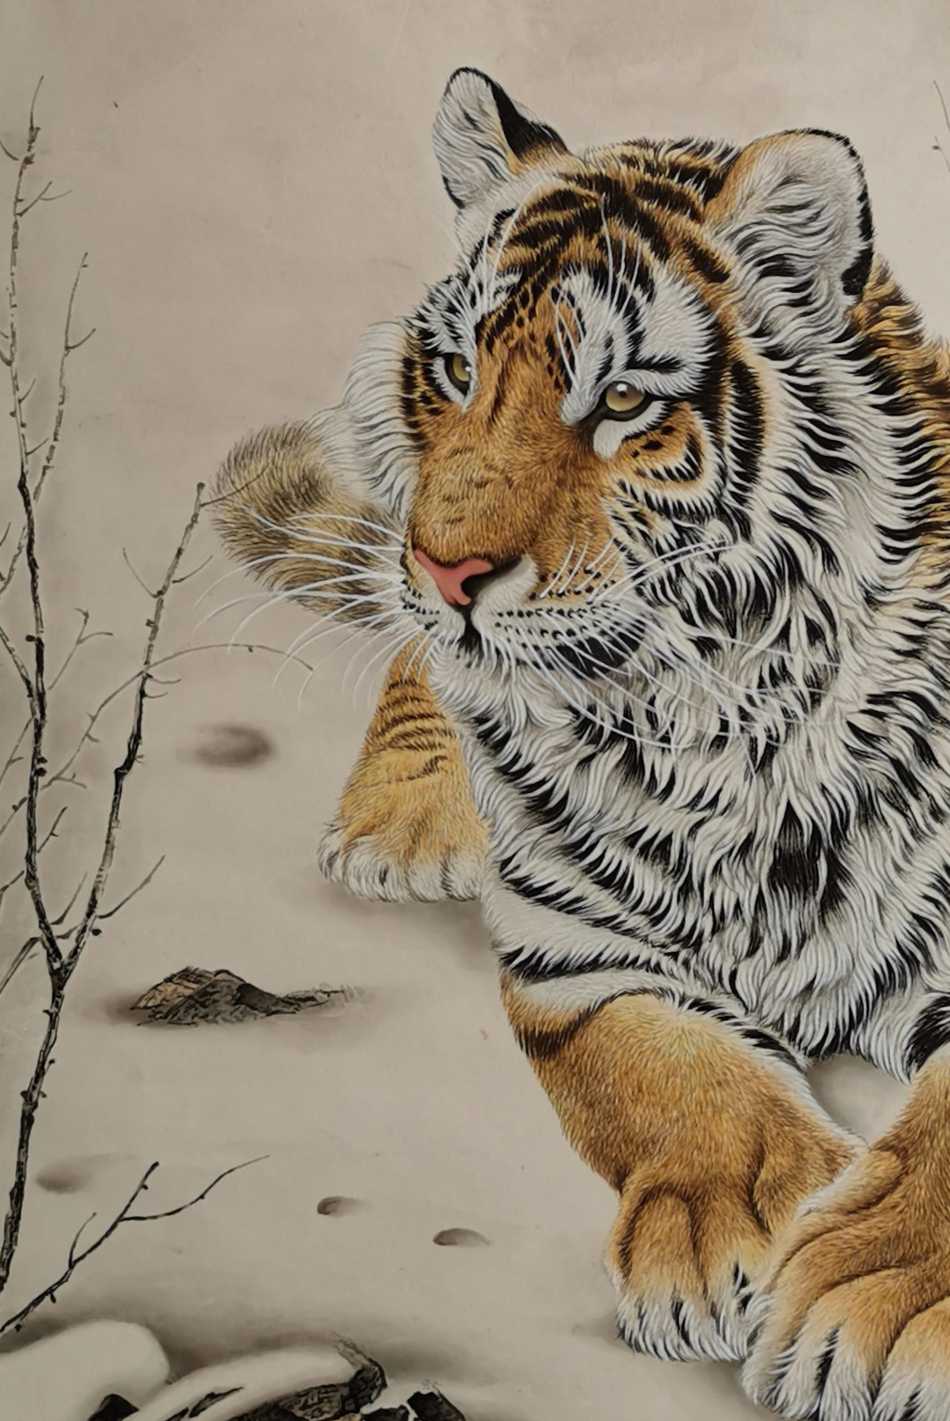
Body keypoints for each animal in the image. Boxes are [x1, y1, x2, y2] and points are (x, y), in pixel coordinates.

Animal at [214, 67, 950, 1419]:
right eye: (457, 368)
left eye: (620, 401)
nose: (444, 570)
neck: (693, 718)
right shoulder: (575, 954)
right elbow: (675, 1073)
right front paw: (735, 1234)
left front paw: (873, 1308)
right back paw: (406, 817)